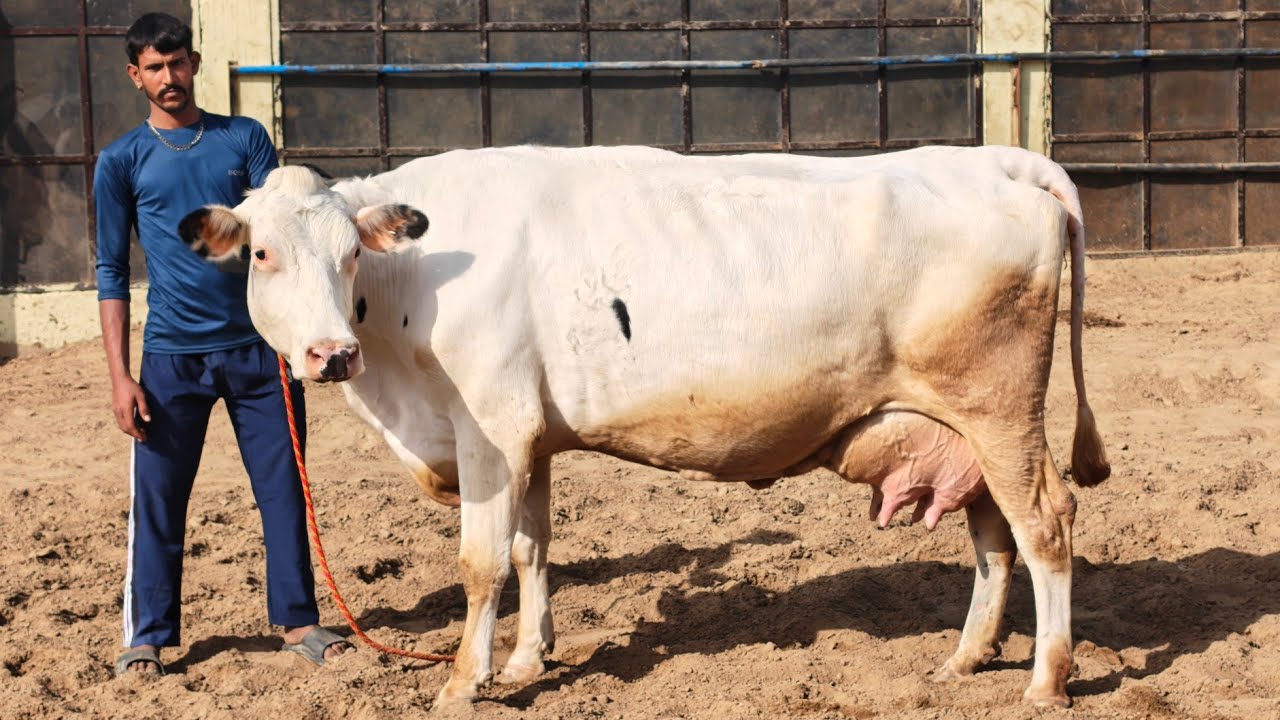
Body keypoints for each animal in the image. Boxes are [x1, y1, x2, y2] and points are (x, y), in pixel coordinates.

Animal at [178, 144, 1110, 710]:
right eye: (262, 253)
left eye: (349, 256)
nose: (330, 354)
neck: (417, 284)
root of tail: (994, 159)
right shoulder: (531, 438)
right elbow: (532, 550)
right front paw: (528, 659)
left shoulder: (490, 429)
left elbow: (482, 565)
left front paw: (463, 684)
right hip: (967, 429)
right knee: (993, 537)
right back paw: (967, 657)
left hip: (1001, 413)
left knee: (1045, 527)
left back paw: (1046, 679)